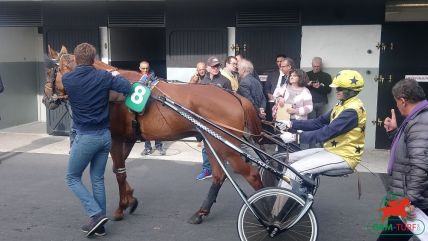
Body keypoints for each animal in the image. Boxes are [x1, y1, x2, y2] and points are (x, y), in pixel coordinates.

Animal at [44, 45, 264, 224]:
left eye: (49, 72)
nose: (46, 100)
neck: (114, 91)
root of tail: (233, 95)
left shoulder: (116, 139)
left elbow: (119, 172)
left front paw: (121, 207)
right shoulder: (128, 139)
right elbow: (118, 170)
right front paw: (131, 199)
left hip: (225, 146)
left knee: (251, 174)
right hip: (213, 144)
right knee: (219, 176)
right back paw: (201, 212)